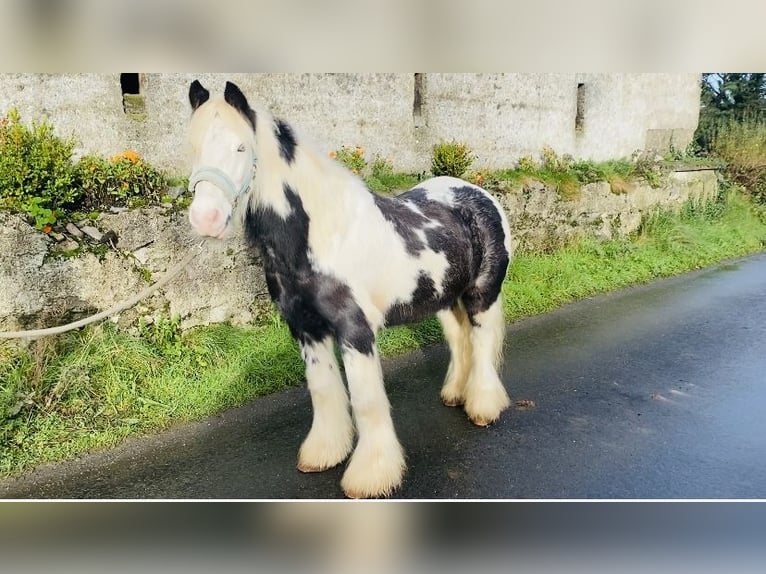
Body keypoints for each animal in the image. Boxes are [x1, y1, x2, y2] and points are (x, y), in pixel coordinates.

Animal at [184, 80, 516, 500]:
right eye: (193, 147)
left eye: (241, 147)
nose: (206, 219)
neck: (322, 235)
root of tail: (477, 193)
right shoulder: (306, 330)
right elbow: (324, 391)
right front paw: (324, 454)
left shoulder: (355, 331)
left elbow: (366, 401)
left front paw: (371, 476)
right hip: (444, 299)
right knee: (460, 339)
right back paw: (455, 393)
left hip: (481, 296)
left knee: (483, 341)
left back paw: (483, 407)